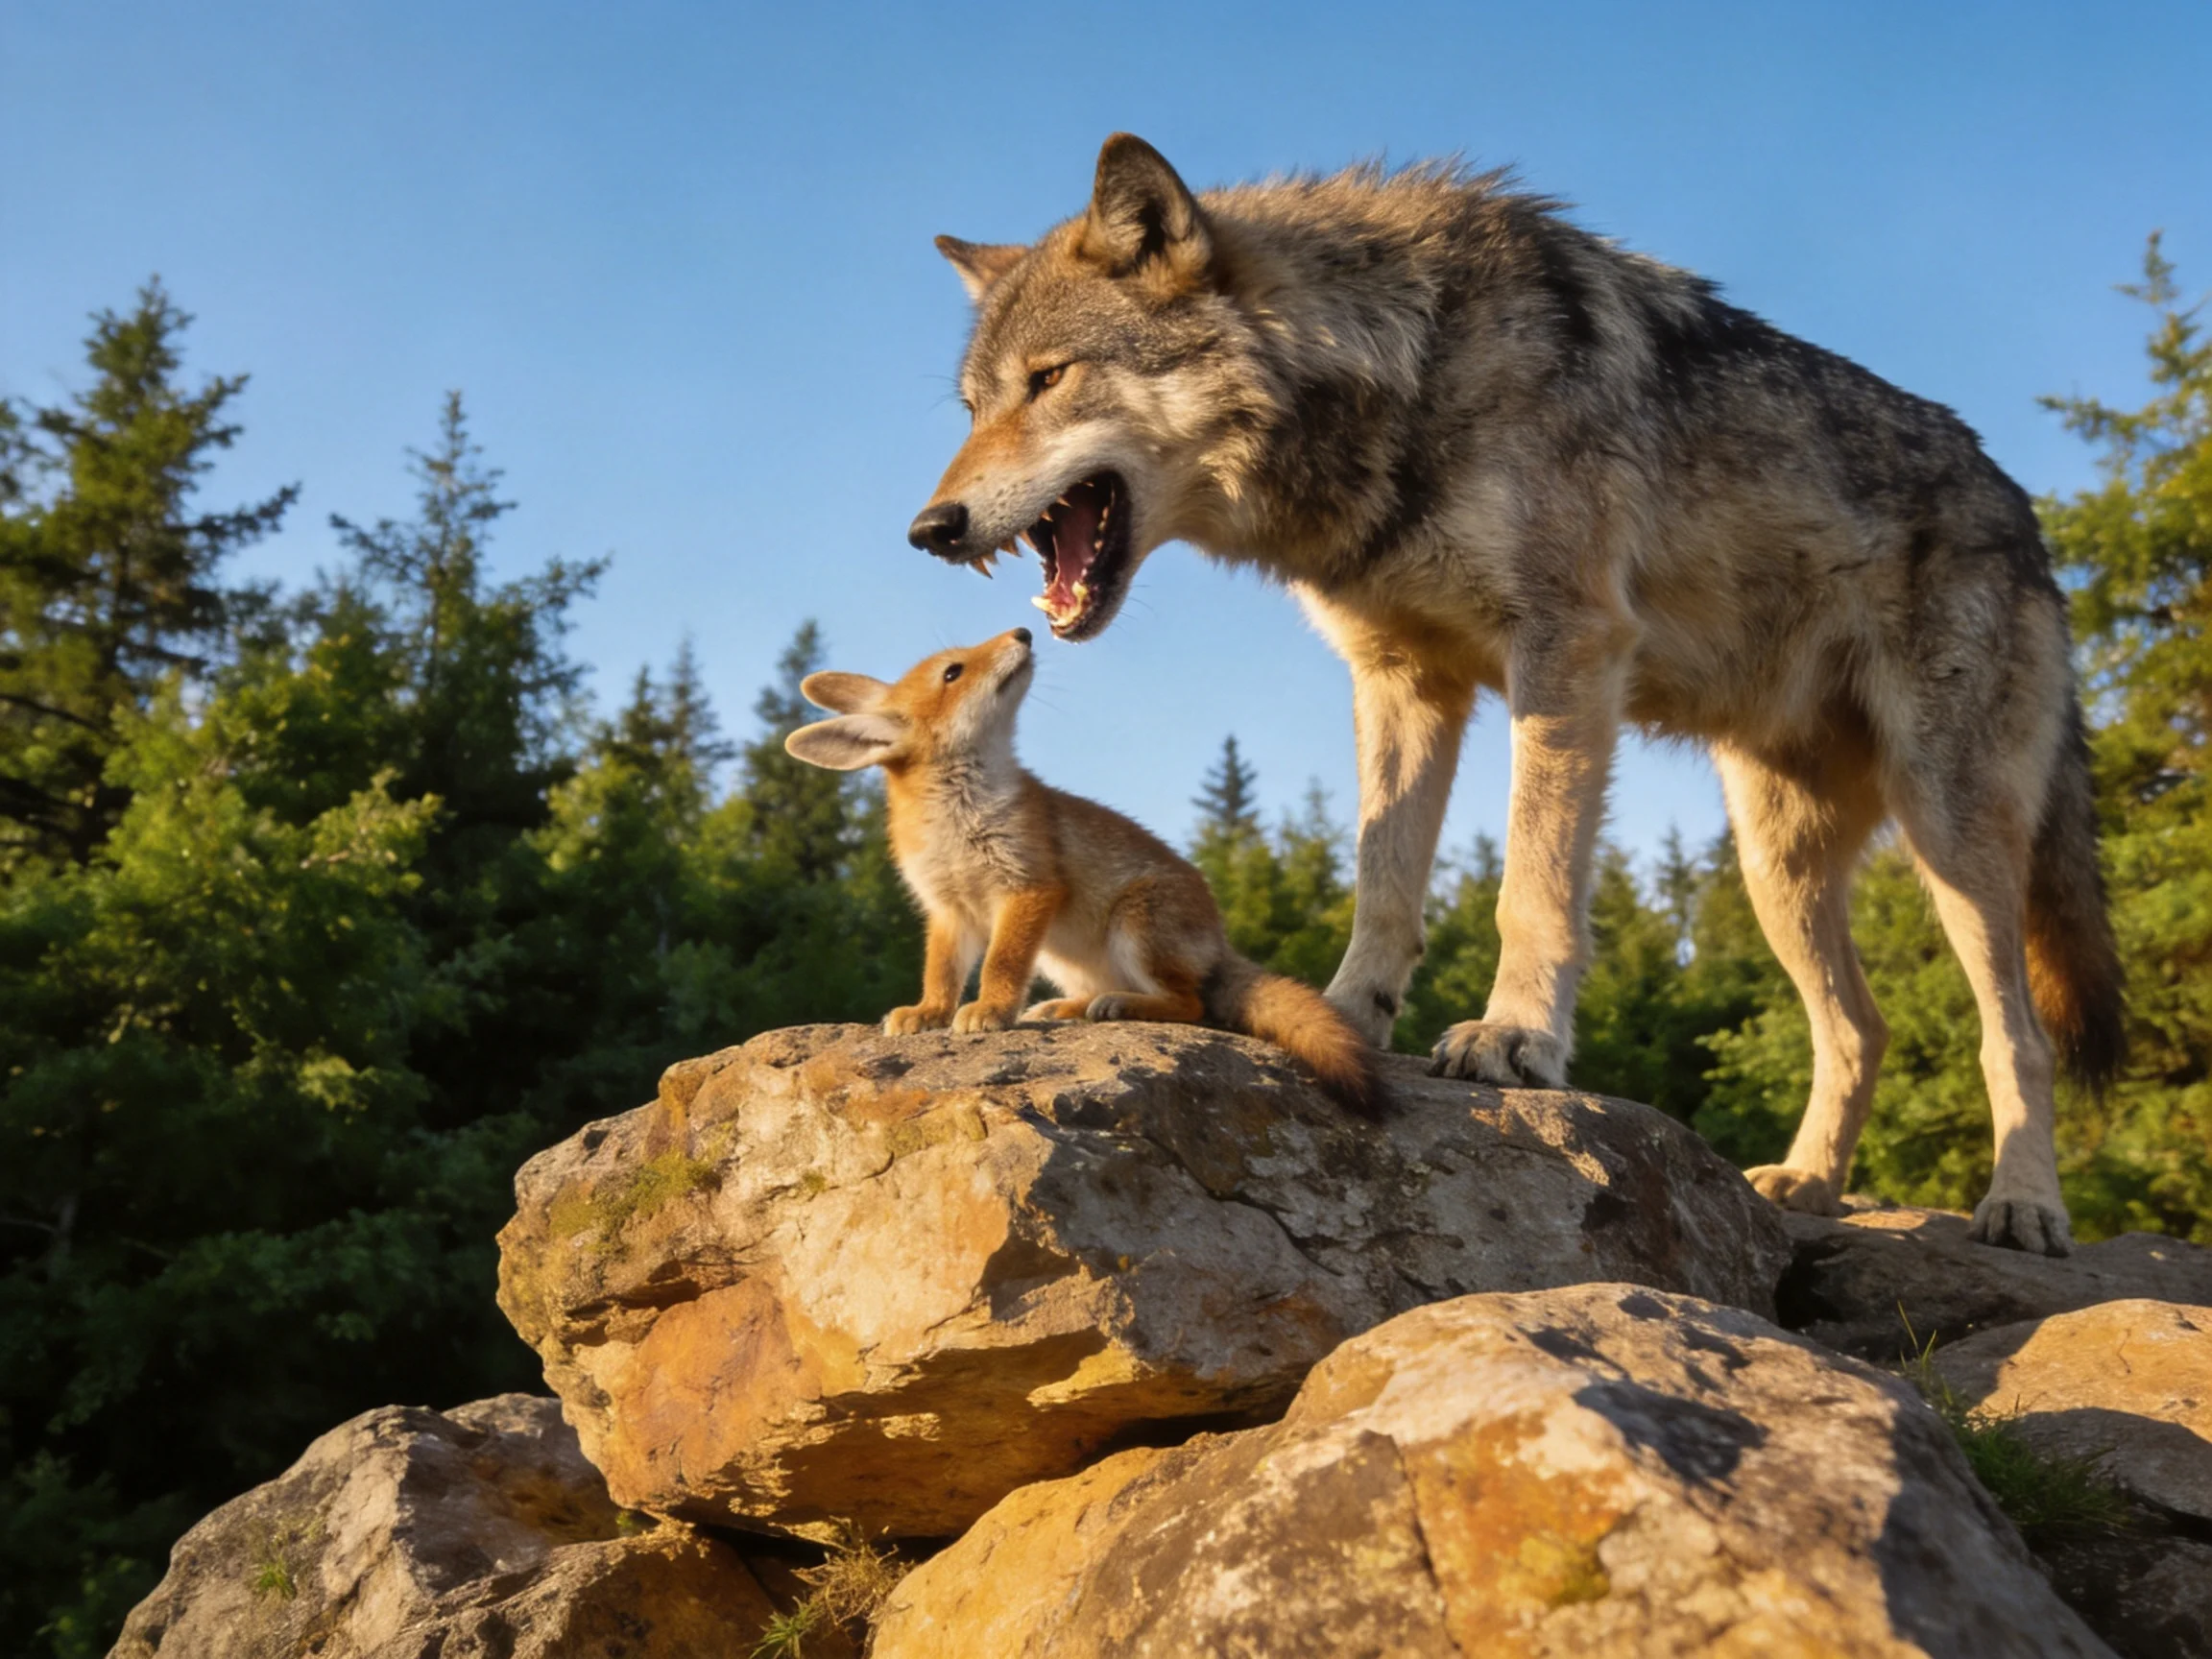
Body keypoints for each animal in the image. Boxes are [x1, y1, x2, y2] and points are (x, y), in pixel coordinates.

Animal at [782, 627, 1384, 1117]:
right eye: (953, 671)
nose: (1023, 631)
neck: (957, 815)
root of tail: (1219, 939)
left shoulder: (1028, 887)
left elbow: (1000, 966)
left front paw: (991, 1011)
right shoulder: (949, 910)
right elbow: (942, 974)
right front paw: (930, 1013)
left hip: (1136, 929)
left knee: (1195, 1006)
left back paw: (1123, 1006)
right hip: (1062, 955)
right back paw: (1073, 1008)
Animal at [900, 133, 2125, 1255]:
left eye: (1050, 379)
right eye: (970, 405)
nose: (929, 529)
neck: (1408, 370)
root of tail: (2030, 523)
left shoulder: (1565, 654)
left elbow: (1528, 885)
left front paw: (1513, 1037)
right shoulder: (1402, 682)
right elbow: (1384, 879)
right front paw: (1341, 1018)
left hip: (1951, 836)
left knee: (2013, 1033)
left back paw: (2025, 1208)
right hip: (1775, 867)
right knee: (1860, 1029)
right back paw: (1811, 1185)